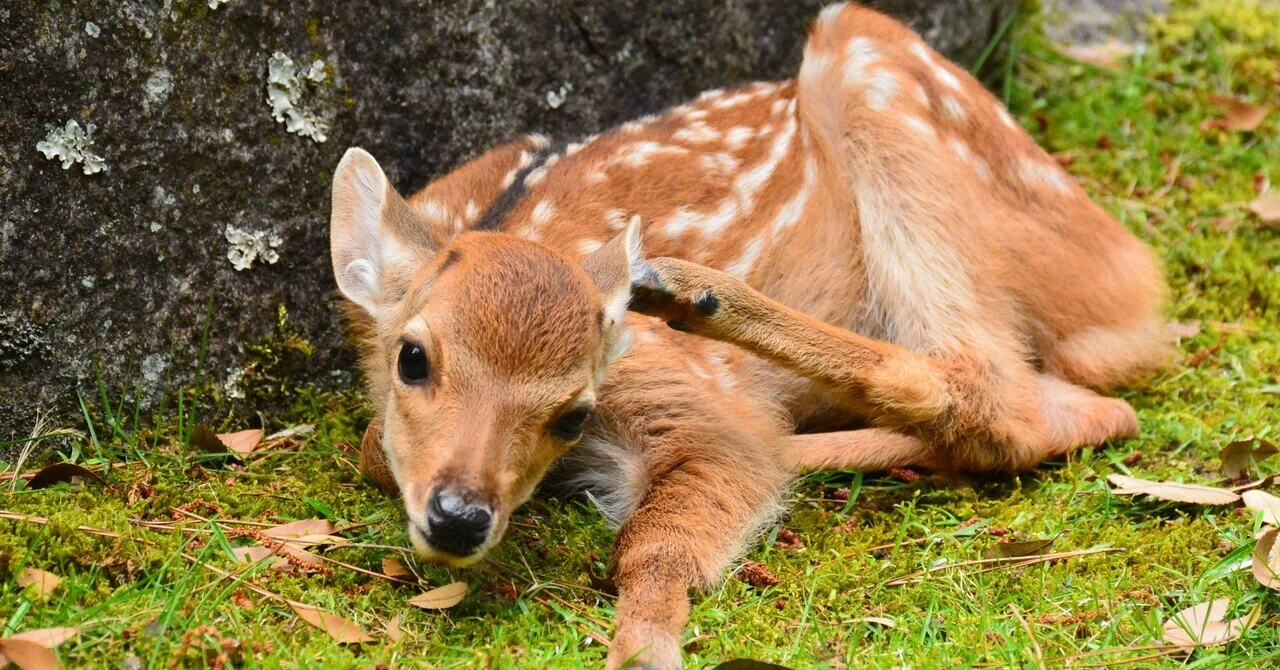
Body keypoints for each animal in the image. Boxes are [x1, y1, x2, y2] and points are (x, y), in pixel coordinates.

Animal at [329, 3, 1169, 667]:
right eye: (413, 358)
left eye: (573, 413)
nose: (460, 515)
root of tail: (1136, 287)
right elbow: (373, 445)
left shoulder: (681, 390)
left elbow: (676, 519)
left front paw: (643, 648)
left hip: (881, 78)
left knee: (1010, 397)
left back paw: (697, 298)